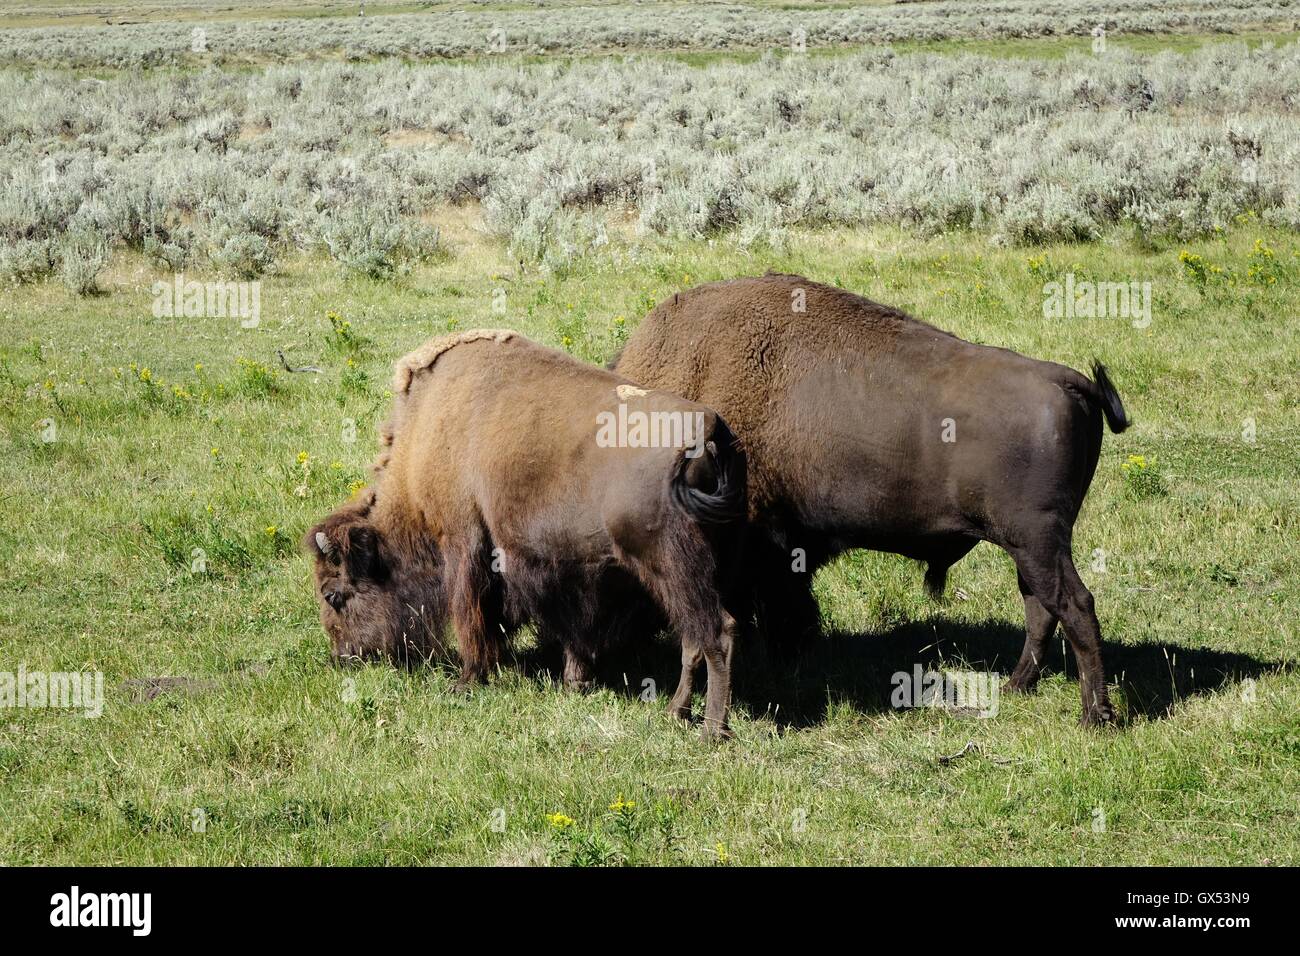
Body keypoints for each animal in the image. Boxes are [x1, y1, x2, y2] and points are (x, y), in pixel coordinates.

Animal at [304, 329, 748, 738]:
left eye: (334, 595)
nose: (342, 657)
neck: (427, 434)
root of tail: (707, 432)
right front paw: (574, 681)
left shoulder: (464, 542)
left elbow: (471, 615)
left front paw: (467, 680)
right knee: (693, 637)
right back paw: (676, 712)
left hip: (671, 565)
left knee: (717, 632)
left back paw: (712, 729)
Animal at [608, 274, 1128, 723]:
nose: (605, 666)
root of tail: (1067, 380)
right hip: (1029, 547)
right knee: (1040, 608)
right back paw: (1018, 686)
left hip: (1037, 541)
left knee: (1076, 606)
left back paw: (1094, 716)